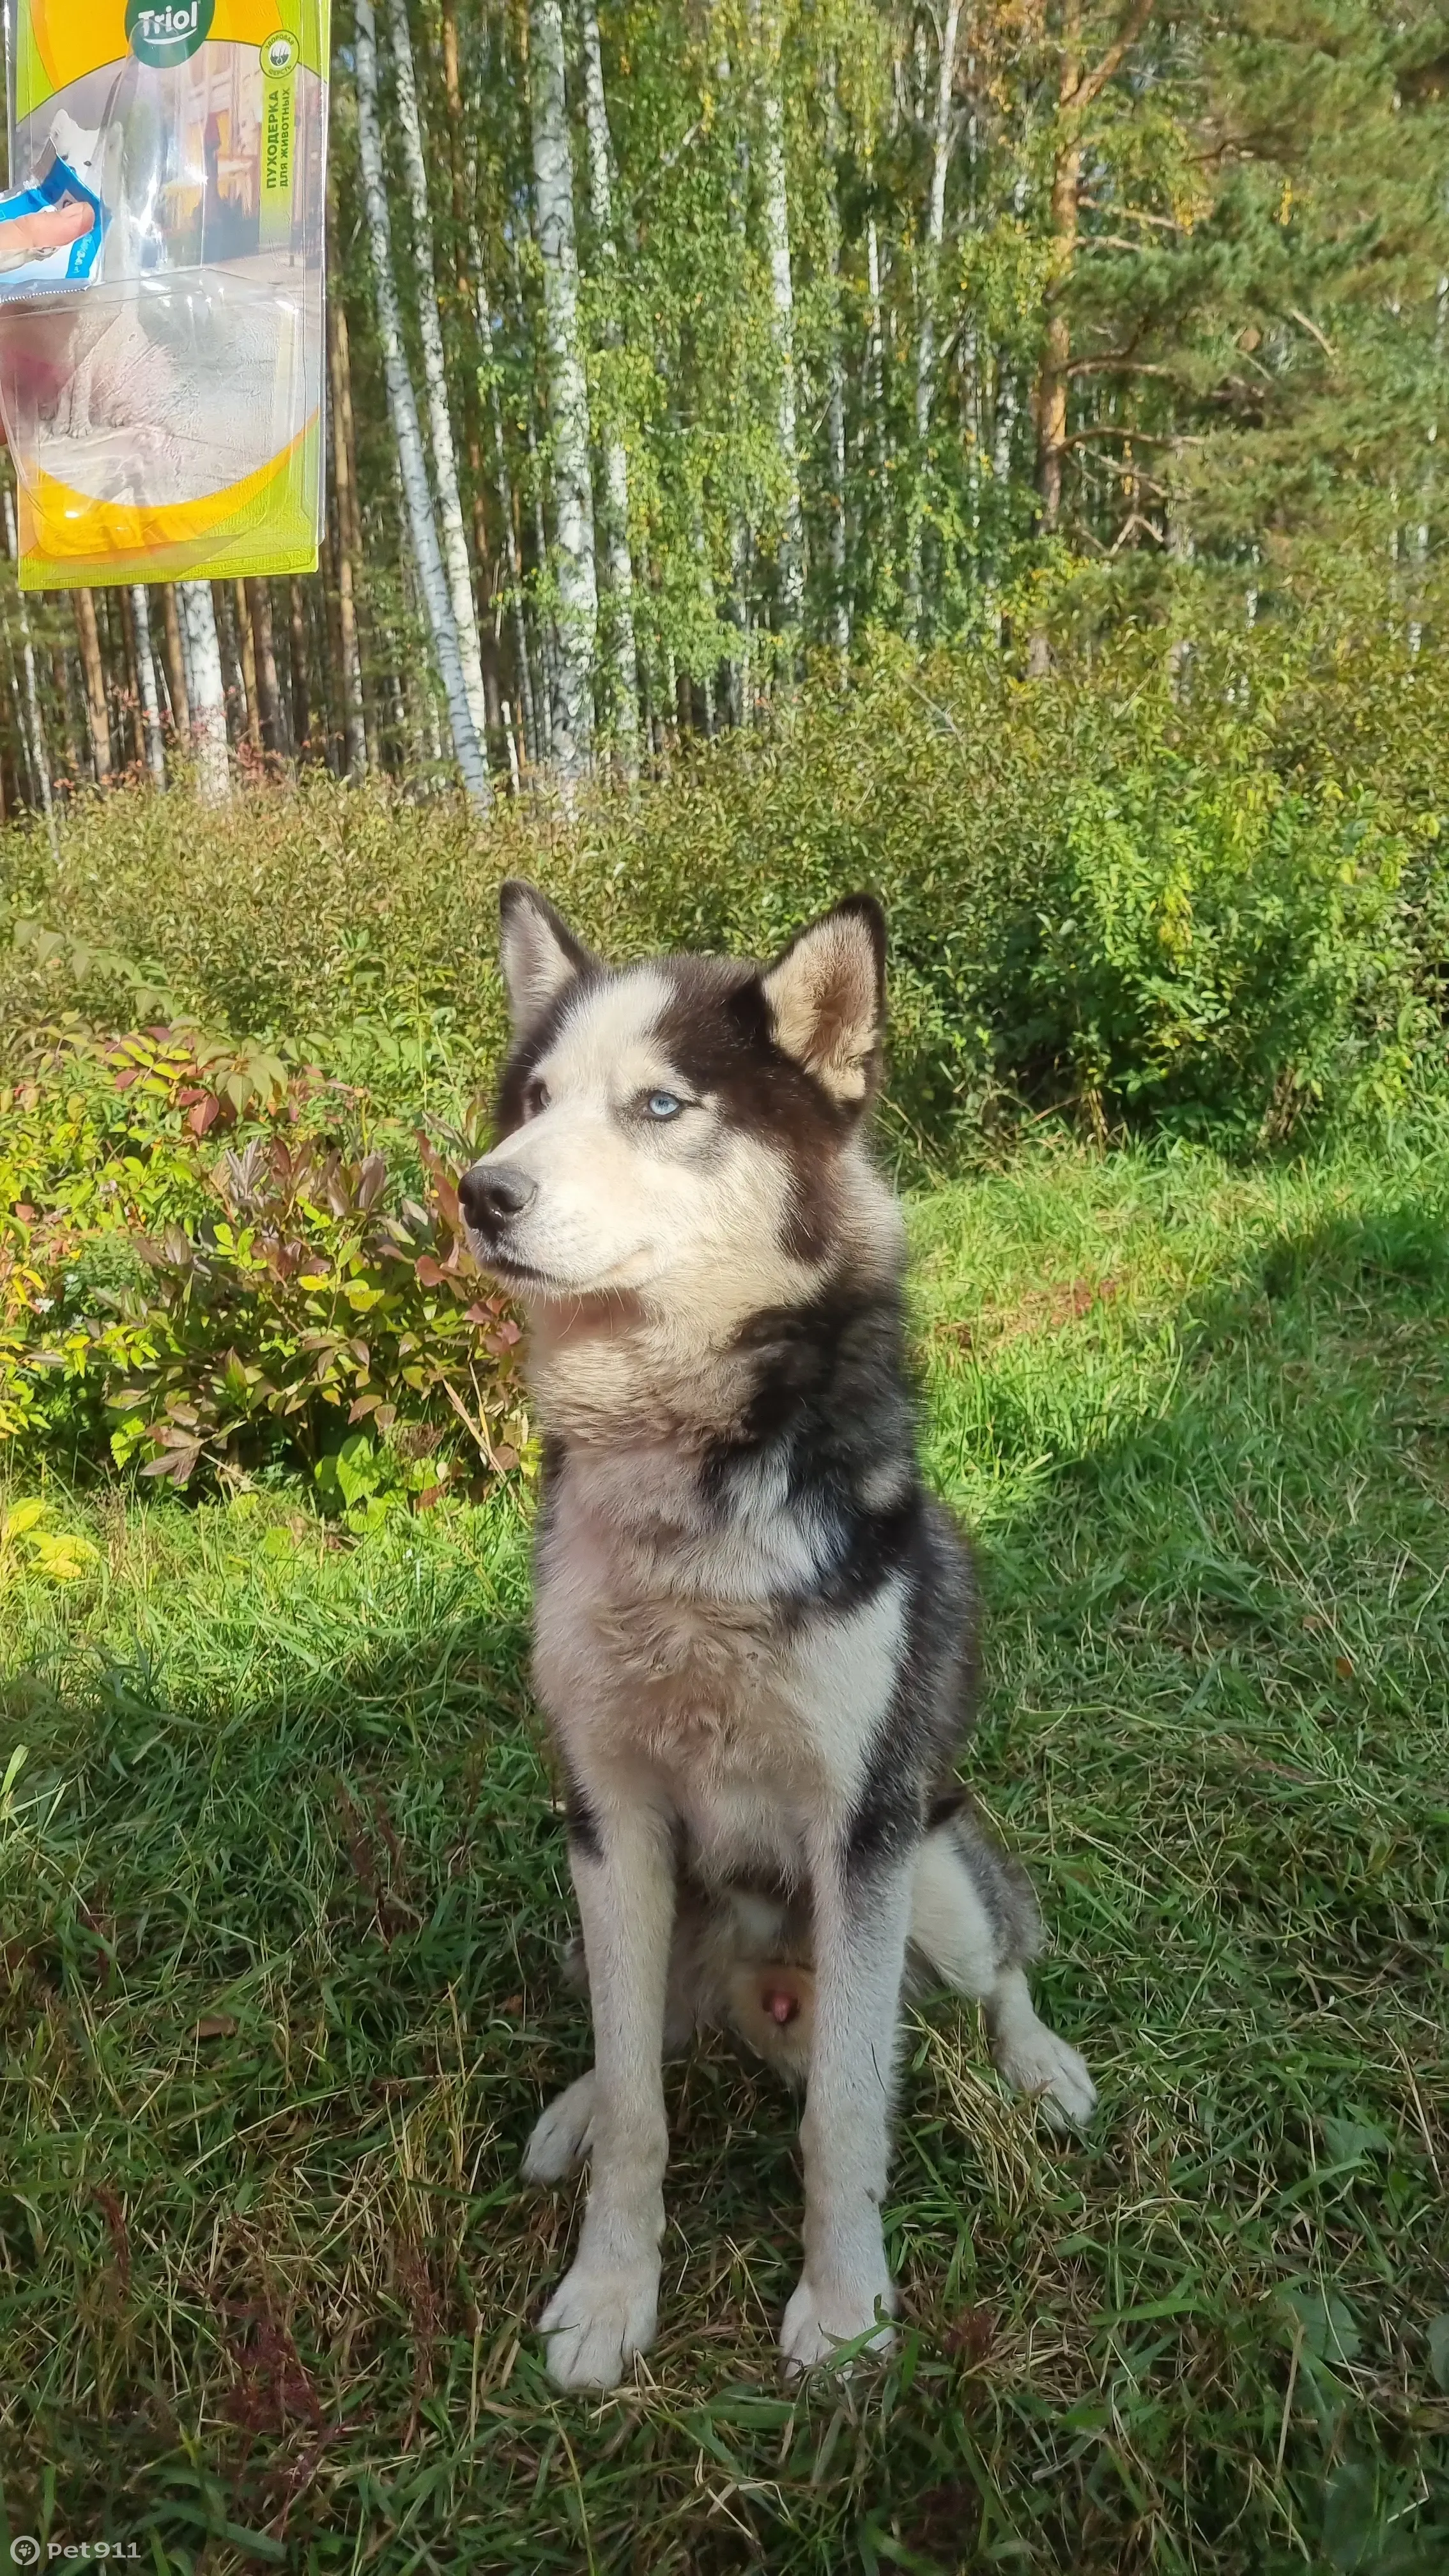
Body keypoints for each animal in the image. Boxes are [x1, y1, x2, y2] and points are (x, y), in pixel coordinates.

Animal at [456, 886, 1088, 2390]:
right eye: (534, 1101)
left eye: (661, 1104)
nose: (480, 1191)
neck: (686, 1488)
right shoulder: (610, 1817)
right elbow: (642, 2104)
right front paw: (610, 2291)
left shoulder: (857, 1826)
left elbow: (846, 2115)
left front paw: (846, 2309)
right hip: (610, 1912)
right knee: (644, 2032)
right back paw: (575, 2103)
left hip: (934, 1869)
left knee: (1000, 1968)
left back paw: (1039, 2066)